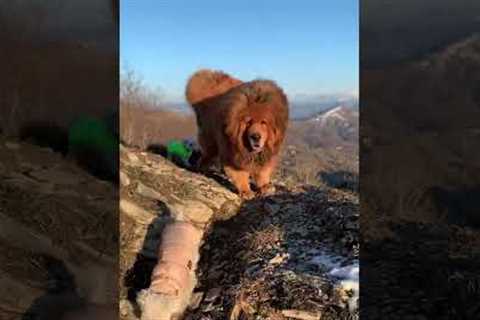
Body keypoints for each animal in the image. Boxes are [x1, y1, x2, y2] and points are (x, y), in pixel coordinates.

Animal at [186, 70, 286, 199]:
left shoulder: (267, 153)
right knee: (207, 155)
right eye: (248, 122)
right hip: (211, 142)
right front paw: (246, 191)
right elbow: (240, 175)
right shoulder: (232, 153)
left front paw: (265, 187)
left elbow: (262, 171)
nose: (256, 137)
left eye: (263, 122)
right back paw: (201, 168)